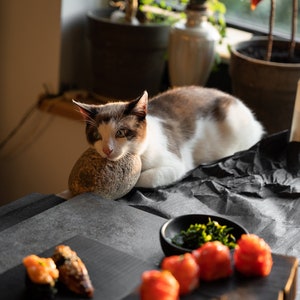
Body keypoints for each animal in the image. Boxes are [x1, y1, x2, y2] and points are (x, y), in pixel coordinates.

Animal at [74, 85, 264, 188]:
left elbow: (145, 178)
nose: (107, 150)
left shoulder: (176, 164)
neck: (142, 153)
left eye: (120, 132)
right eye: (97, 135)